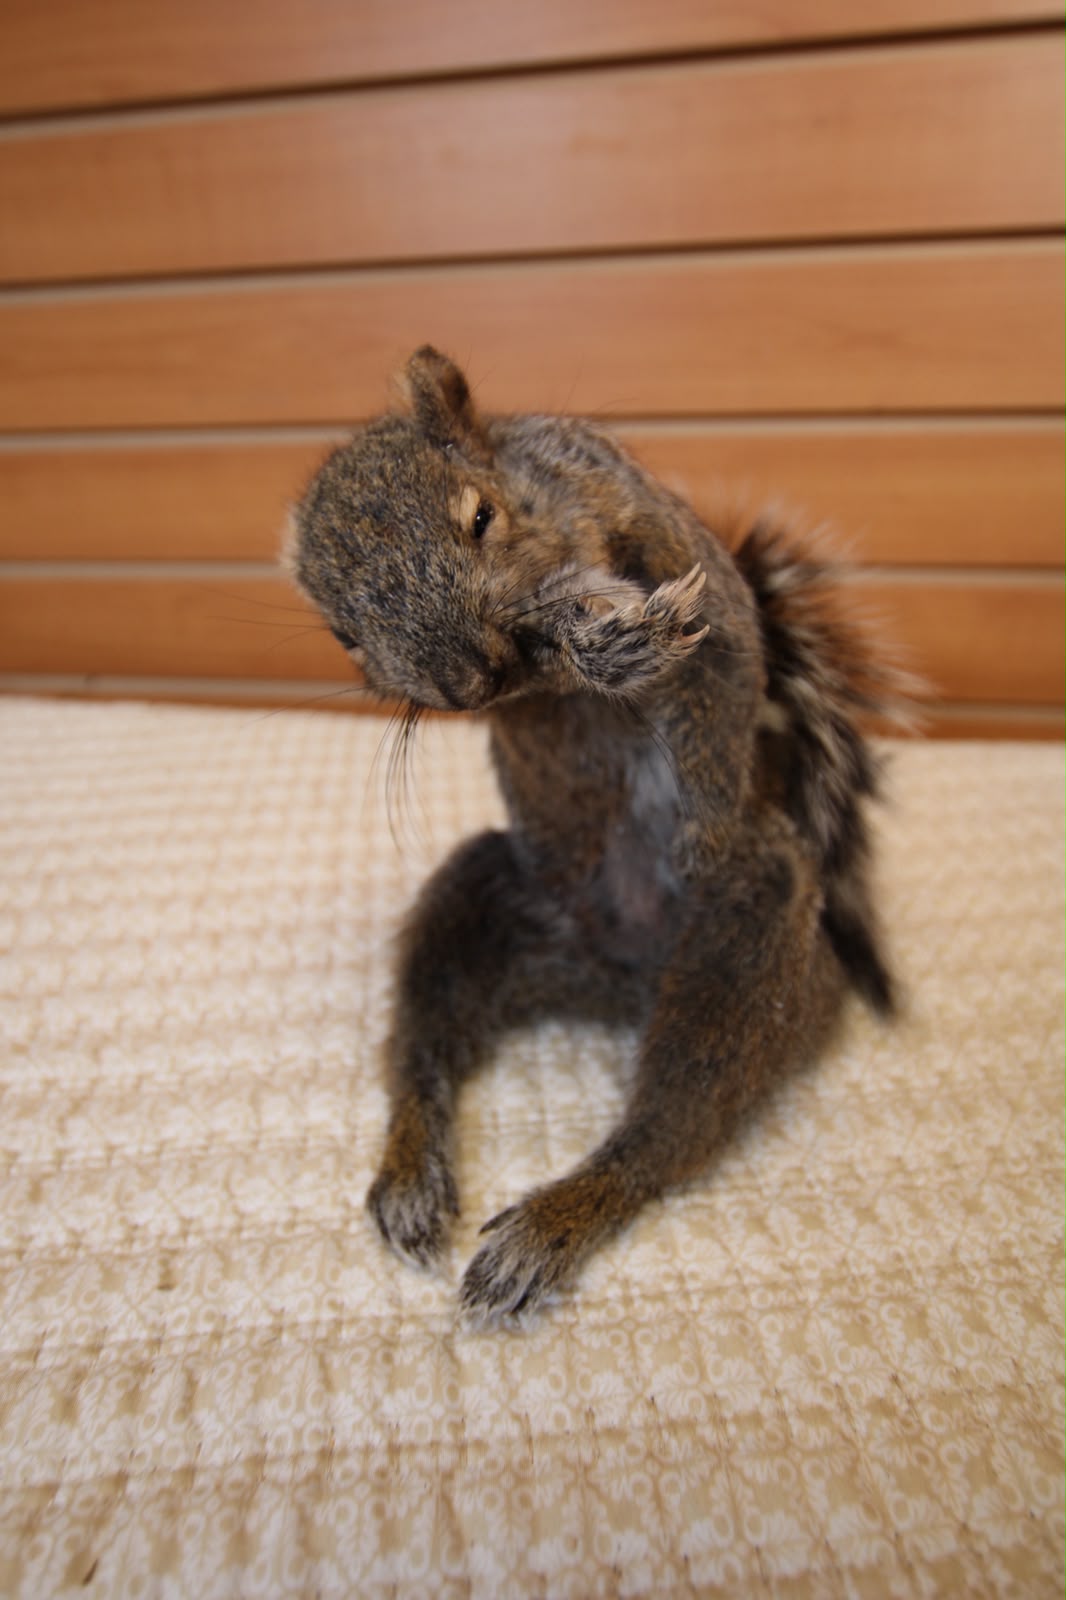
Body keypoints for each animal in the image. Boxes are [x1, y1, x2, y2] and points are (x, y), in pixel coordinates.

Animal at [287, 345, 906, 1321]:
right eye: (345, 635)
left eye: (481, 517)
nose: (466, 681)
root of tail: (620, 982)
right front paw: (580, 633)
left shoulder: (685, 564)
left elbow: (719, 664)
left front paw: (610, 646)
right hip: (477, 895)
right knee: (424, 1053)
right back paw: (414, 1175)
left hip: (757, 938)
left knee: (668, 1131)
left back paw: (554, 1223)